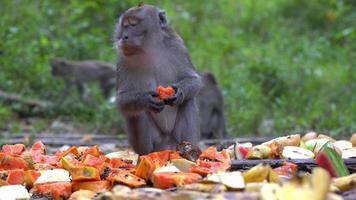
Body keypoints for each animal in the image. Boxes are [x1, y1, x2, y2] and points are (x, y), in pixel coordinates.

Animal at [114, 4, 202, 155]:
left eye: (133, 24)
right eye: (125, 26)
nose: (124, 37)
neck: (149, 49)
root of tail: (167, 145)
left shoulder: (177, 44)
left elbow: (194, 80)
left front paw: (178, 92)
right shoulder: (123, 57)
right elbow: (122, 99)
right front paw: (146, 99)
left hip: (175, 137)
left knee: (188, 100)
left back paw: (188, 149)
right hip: (155, 140)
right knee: (135, 112)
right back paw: (147, 153)